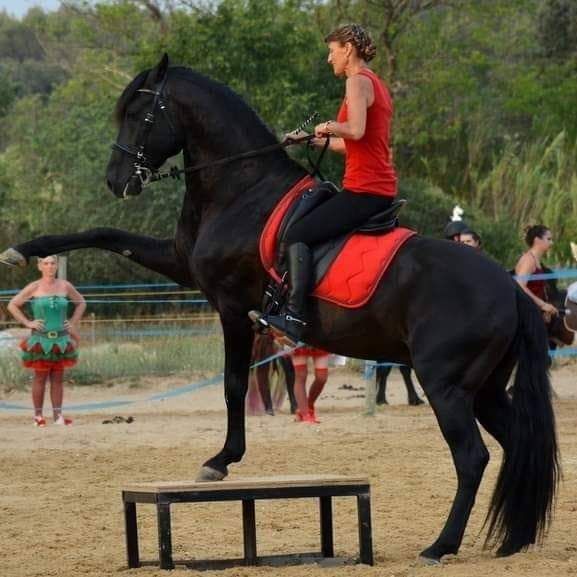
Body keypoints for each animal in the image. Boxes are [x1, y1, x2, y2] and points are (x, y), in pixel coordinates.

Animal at [0, 55, 560, 564]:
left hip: (445, 384)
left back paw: (441, 545)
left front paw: (221, 461)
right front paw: (23, 249)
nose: (117, 180)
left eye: (140, 114)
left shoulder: (231, 305)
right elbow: (105, 232)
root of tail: (509, 287)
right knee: (518, 444)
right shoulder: (180, 264)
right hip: (483, 388)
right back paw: (513, 539)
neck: (241, 187)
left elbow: (231, 384)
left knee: (472, 457)